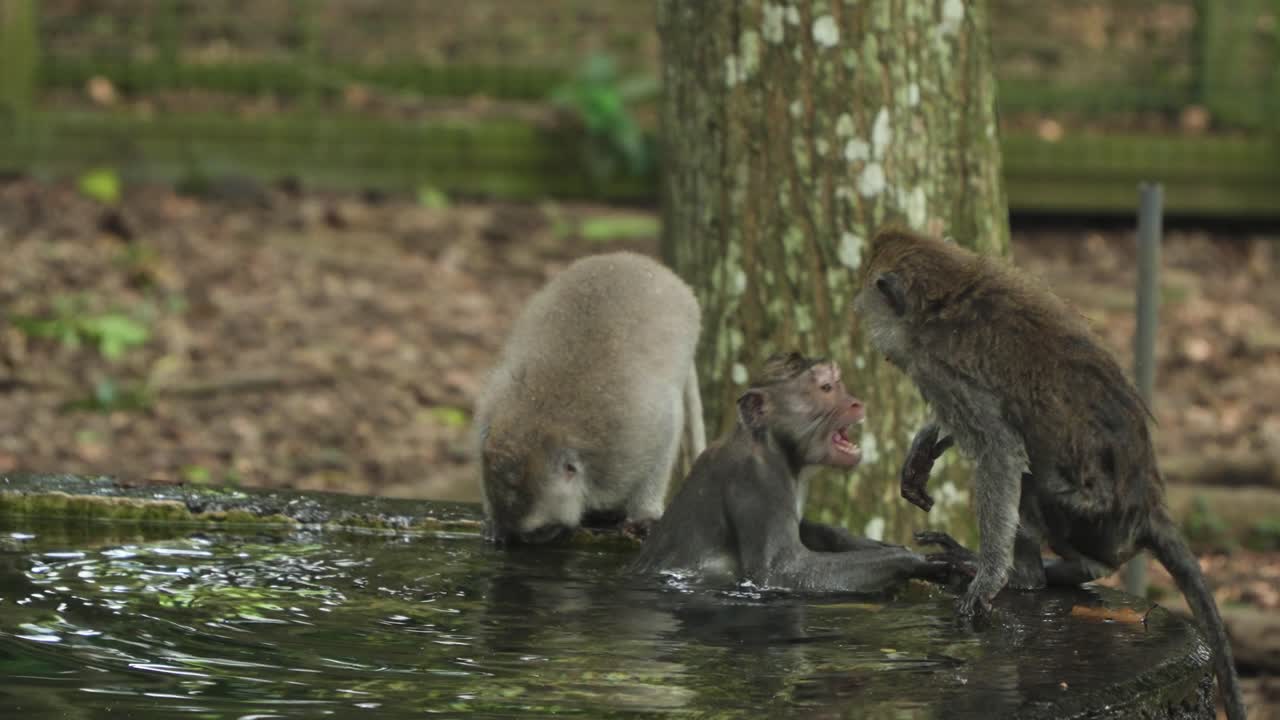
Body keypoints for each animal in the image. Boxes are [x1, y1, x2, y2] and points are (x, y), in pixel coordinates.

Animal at [472, 251, 706, 545]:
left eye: (538, 531)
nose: (528, 543)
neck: (545, 422)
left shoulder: (629, 442)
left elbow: (665, 429)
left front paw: (644, 514)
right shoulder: (492, 412)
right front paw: (494, 524)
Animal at [630, 351, 973, 593]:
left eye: (839, 383)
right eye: (826, 388)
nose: (855, 402)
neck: (776, 447)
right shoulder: (755, 480)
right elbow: (782, 571)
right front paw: (919, 562)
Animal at [851, 227, 1246, 720]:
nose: (857, 312)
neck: (945, 296)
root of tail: (1149, 504)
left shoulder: (943, 374)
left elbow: (1000, 451)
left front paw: (990, 578)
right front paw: (925, 447)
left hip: (1089, 515)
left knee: (1032, 482)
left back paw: (1027, 575)